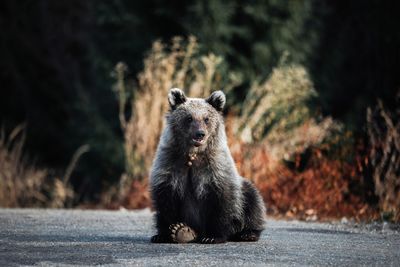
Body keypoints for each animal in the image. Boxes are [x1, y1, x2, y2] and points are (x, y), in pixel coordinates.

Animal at [148, 89, 264, 244]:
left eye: (206, 118)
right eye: (189, 118)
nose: (200, 134)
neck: (193, 154)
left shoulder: (214, 169)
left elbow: (220, 201)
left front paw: (212, 236)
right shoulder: (170, 163)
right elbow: (166, 200)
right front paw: (165, 233)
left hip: (244, 195)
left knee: (253, 201)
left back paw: (248, 233)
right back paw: (183, 231)